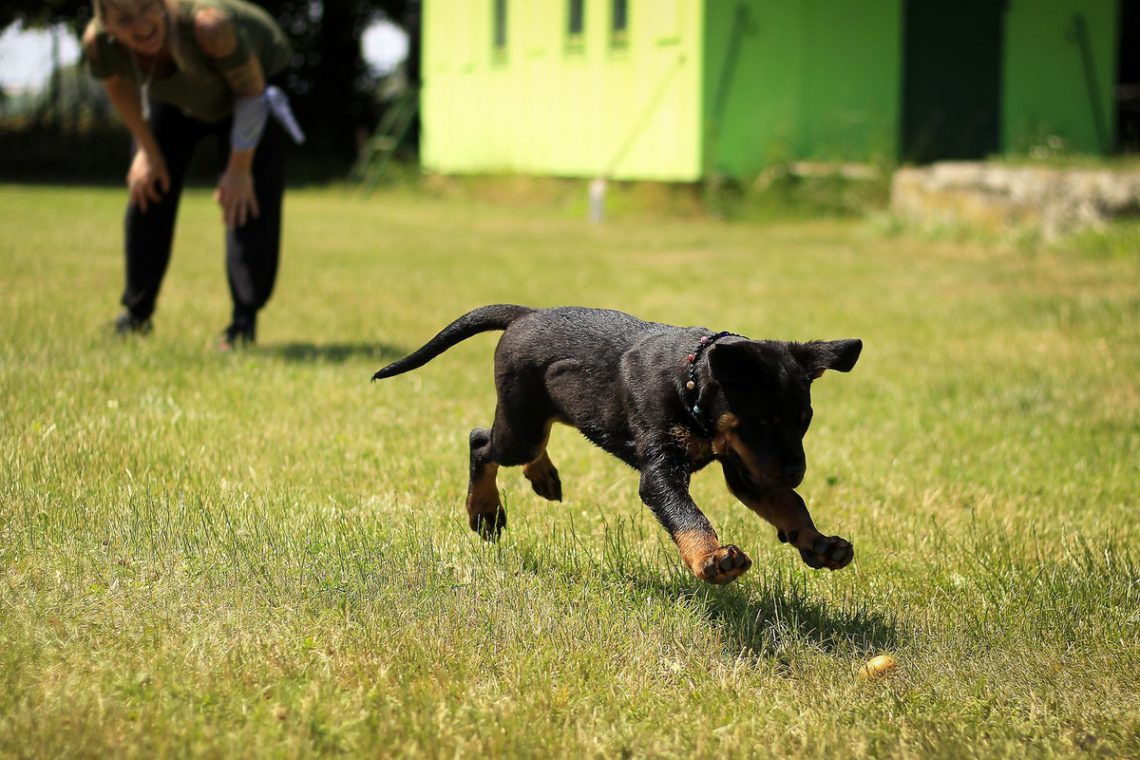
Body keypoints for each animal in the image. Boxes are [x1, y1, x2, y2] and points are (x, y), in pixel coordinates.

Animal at [369, 305, 857, 587]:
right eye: (761, 422)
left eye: (804, 421)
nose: (796, 471)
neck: (690, 380)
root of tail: (525, 313)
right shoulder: (662, 471)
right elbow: (688, 515)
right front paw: (712, 559)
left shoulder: (747, 468)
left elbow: (789, 504)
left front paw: (819, 544)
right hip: (520, 426)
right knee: (481, 442)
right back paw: (484, 511)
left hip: (540, 415)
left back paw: (543, 476)